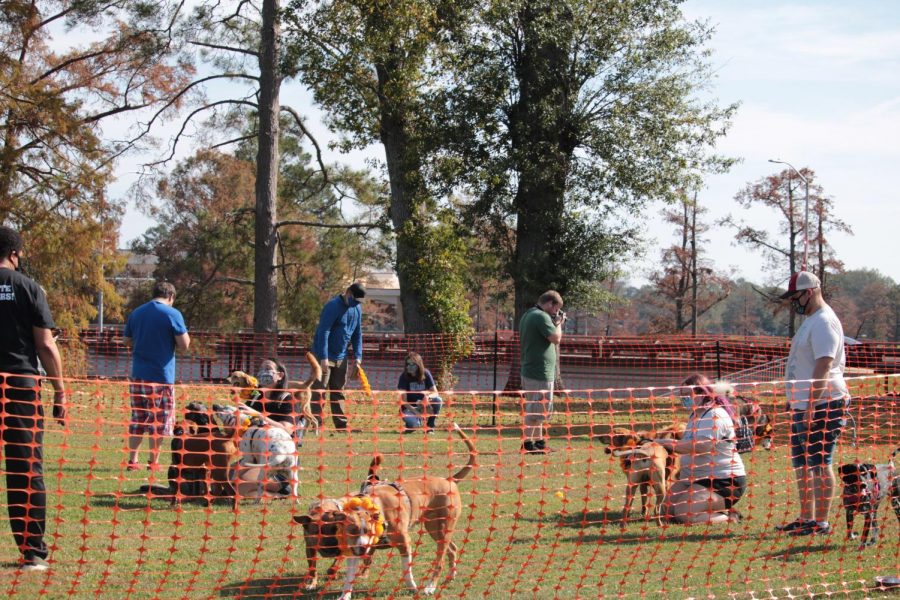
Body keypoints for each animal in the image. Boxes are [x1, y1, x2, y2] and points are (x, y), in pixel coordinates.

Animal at [294, 424, 478, 596]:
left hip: (442, 527)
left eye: (332, 530)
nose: (330, 550)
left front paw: (412, 587)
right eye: (350, 531)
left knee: (440, 560)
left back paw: (430, 586)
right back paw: (451, 576)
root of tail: (449, 480)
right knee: (452, 548)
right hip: (435, 528)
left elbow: (406, 570)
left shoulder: (404, 542)